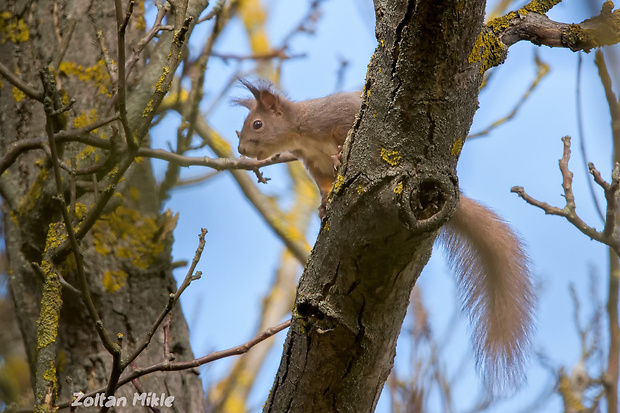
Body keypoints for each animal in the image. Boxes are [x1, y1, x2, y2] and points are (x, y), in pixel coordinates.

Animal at [235, 79, 536, 388]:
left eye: (257, 124)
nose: (241, 148)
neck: (302, 133)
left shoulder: (335, 118)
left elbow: (344, 135)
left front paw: (338, 154)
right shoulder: (313, 164)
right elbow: (324, 186)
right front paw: (323, 206)